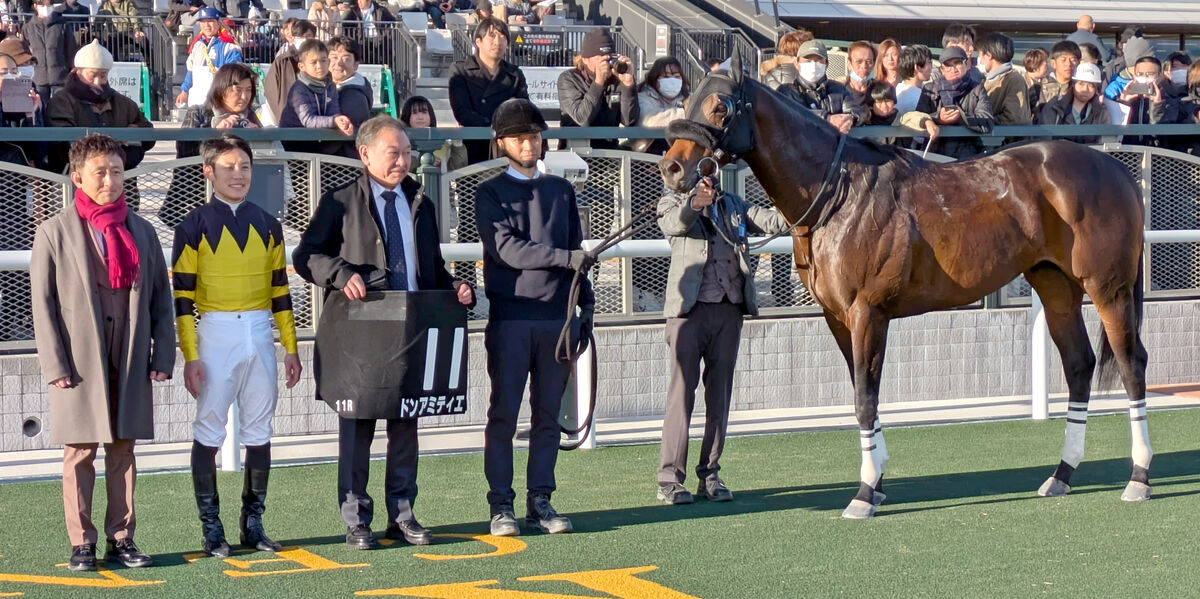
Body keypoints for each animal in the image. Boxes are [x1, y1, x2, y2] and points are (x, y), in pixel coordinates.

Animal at [657, 52, 1152, 520]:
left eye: (721, 105)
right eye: (687, 100)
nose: (672, 168)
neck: (840, 194)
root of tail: (1117, 170)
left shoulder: (867, 313)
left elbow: (865, 399)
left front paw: (862, 495)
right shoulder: (838, 318)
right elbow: (864, 394)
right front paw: (876, 484)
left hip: (1108, 289)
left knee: (1131, 366)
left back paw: (1139, 478)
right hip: (1056, 287)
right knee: (1079, 366)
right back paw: (1062, 475)